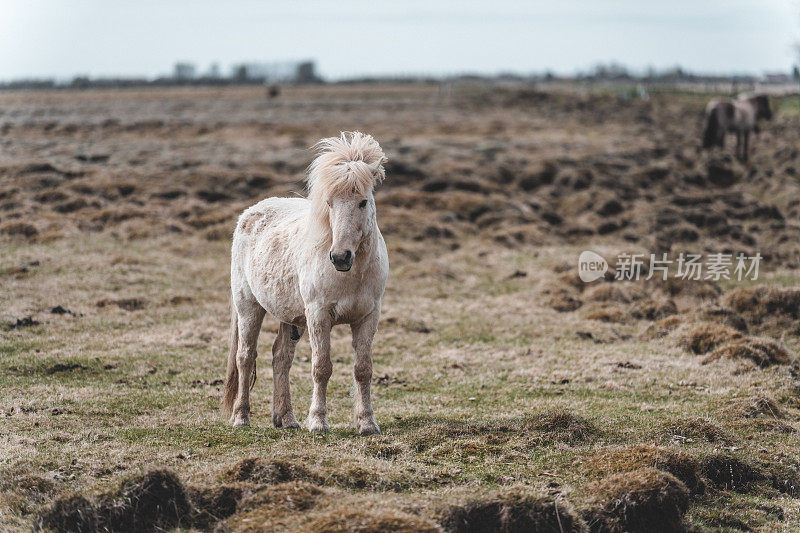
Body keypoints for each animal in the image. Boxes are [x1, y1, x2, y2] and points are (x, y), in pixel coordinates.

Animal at [223, 131, 390, 434]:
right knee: (245, 356)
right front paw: (318, 422)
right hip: (248, 307)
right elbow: (321, 367)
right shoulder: (318, 315)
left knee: (280, 358)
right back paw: (241, 417)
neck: (351, 275)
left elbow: (363, 369)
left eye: (363, 202)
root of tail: (249, 213)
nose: (340, 257)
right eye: (329, 203)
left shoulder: (368, 316)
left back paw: (286, 419)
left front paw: (367, 423)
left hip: (290, 317)